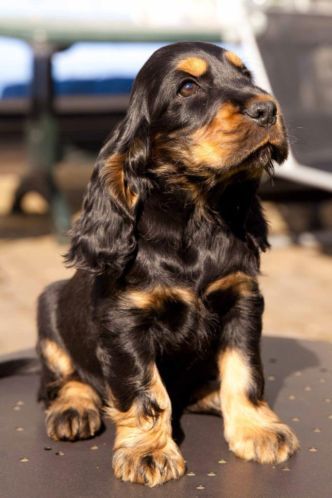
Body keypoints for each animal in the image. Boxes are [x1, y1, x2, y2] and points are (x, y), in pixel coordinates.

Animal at [37, 42, 298, 486]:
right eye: (187, 88)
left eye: (245, 75)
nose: (268, 109)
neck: (197, 217)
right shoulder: (125, 322)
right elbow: (145, 390)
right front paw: (148, 452)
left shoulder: (242, 301)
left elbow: (244, 372)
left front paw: (257, 430)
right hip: (49, 305)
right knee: (64, 378)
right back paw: (74, 409)